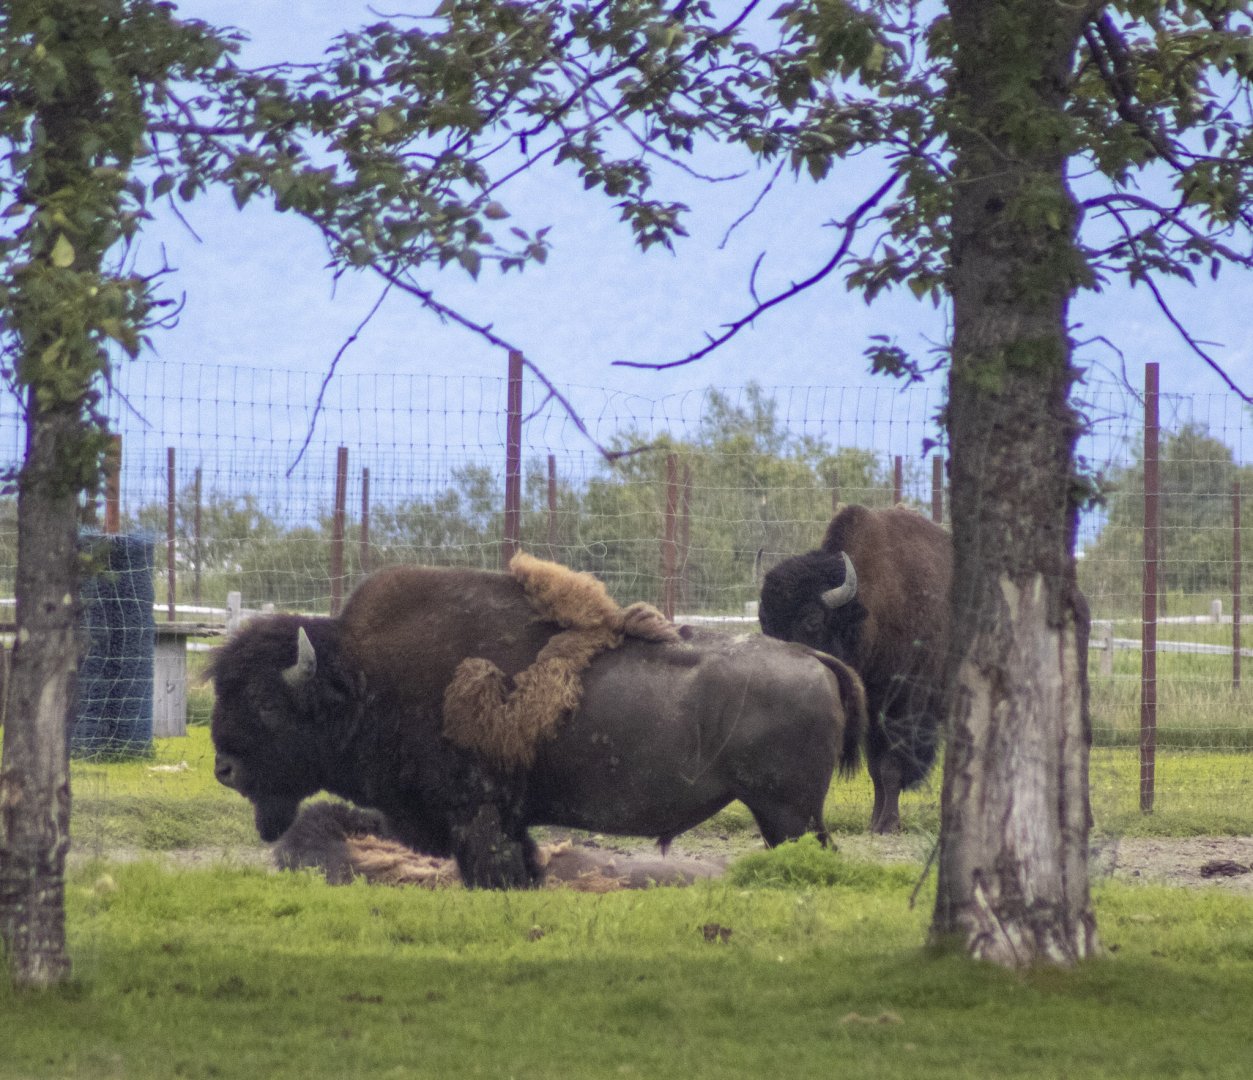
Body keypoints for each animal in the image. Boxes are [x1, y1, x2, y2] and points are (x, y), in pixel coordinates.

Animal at [209, 563, 866, 888]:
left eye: (266, 703)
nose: (224, 768)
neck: (366, 678)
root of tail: (813, 657)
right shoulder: (507, 819)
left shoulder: (477, 814)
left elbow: (493, 869)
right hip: (789, 814)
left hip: (787, 813)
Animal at [759, 504, 950, 833]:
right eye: (764, 623)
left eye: (812, 620)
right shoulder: (873, 714)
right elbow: (876, 769)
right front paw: (875, 822)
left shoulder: (904, 708)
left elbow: (891, 766)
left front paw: (888, 825)